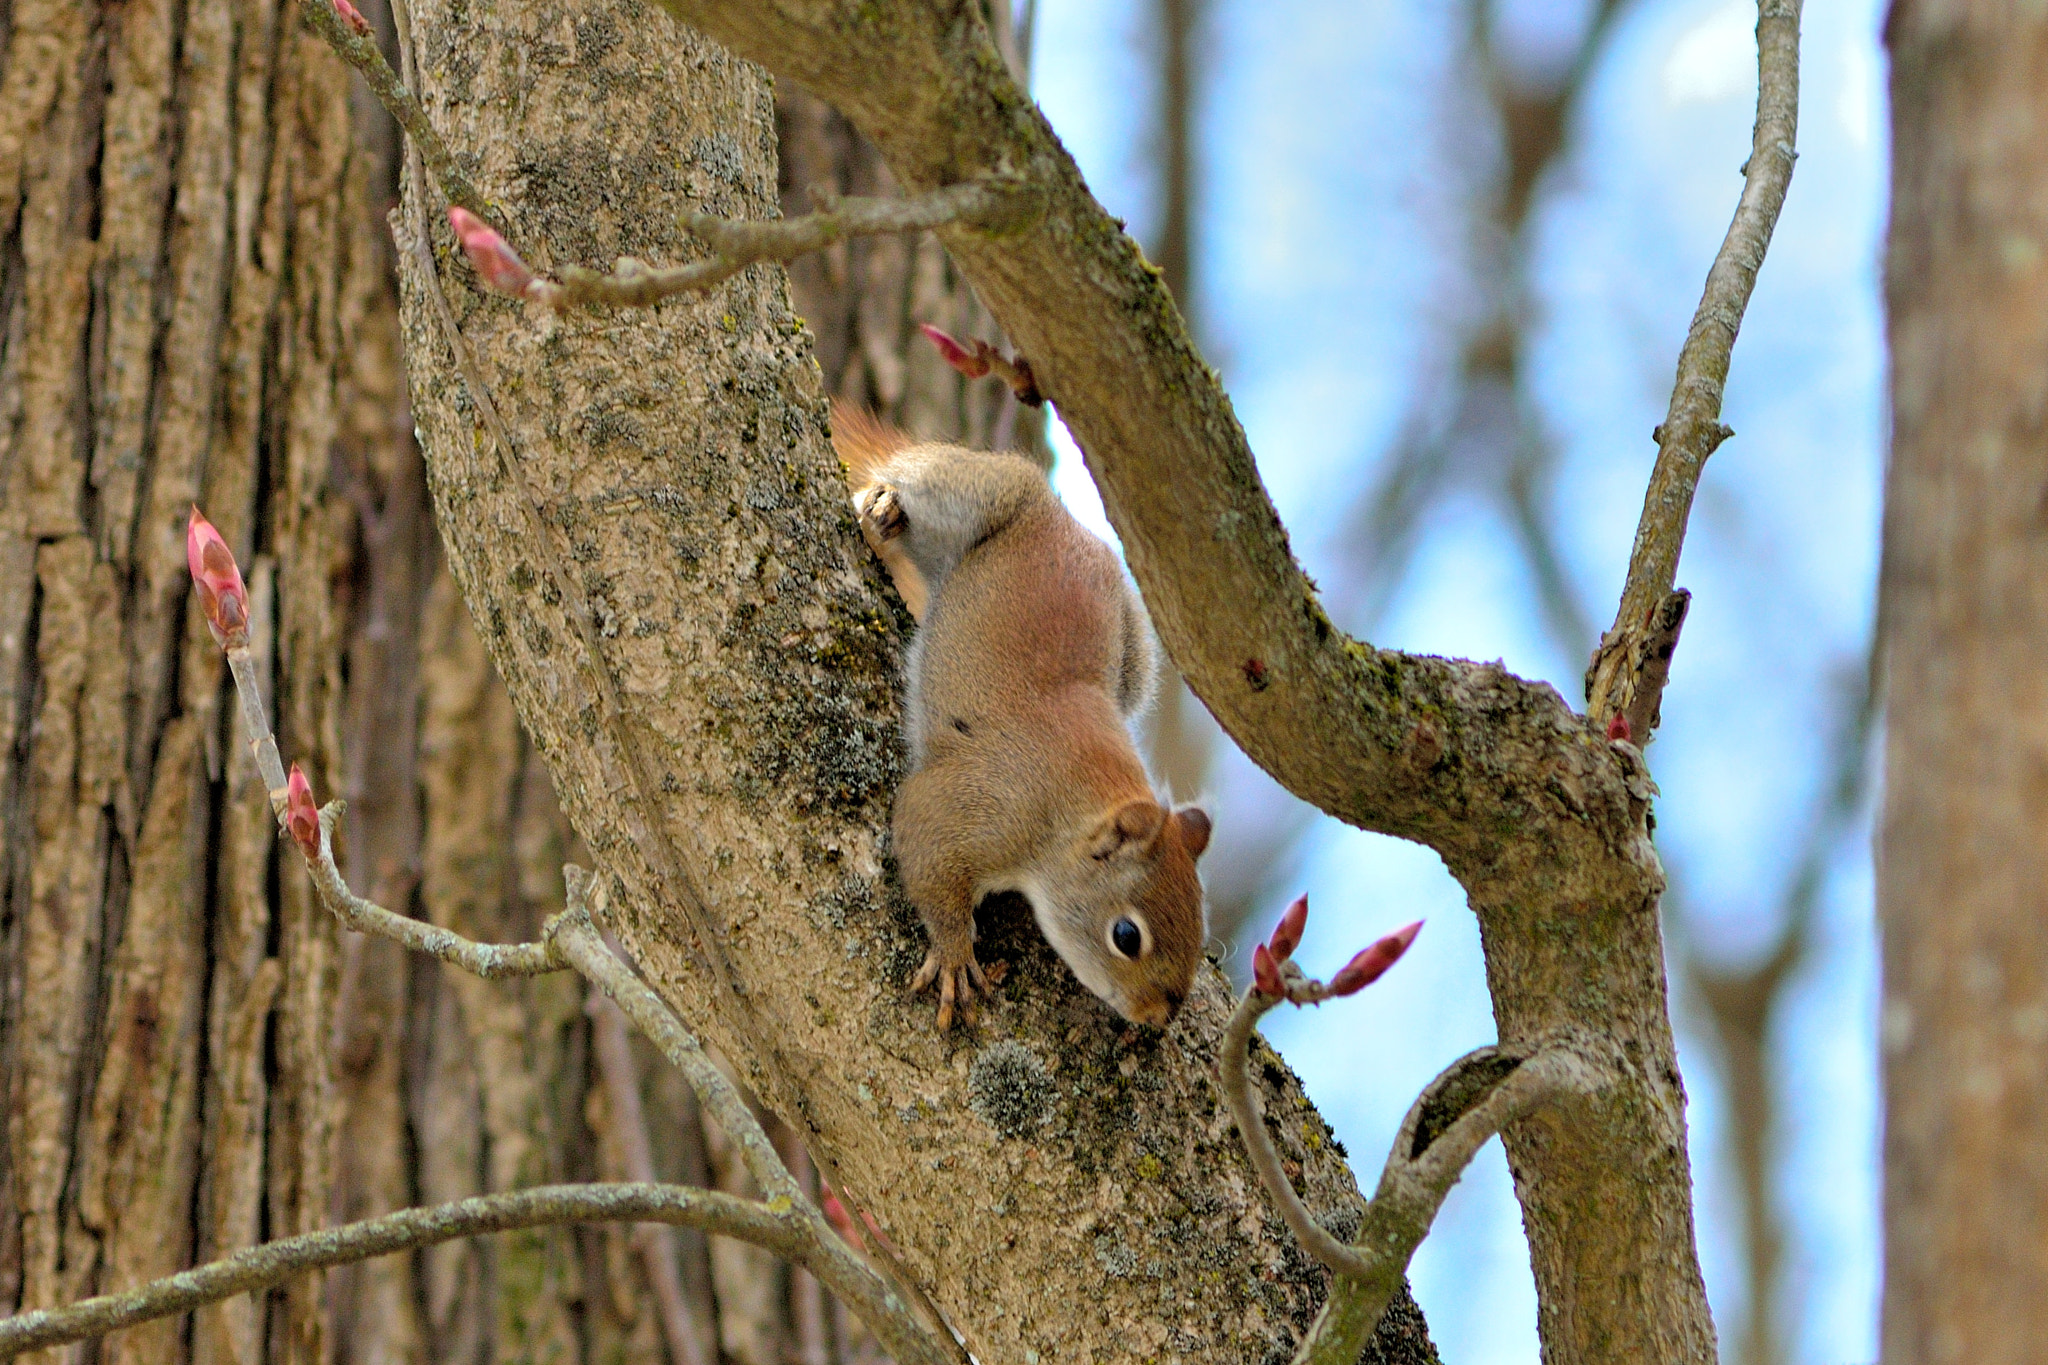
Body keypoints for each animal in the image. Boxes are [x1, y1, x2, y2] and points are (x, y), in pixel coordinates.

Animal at [831, 411, 1204, 1031]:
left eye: (1200, 928)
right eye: (1127, 936)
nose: (1157, 1018)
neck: (1071, 806)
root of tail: (1067, 523)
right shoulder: (985, 804)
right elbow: (925, 841)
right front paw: (955, 955)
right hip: (973, 491)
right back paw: (879, 507)